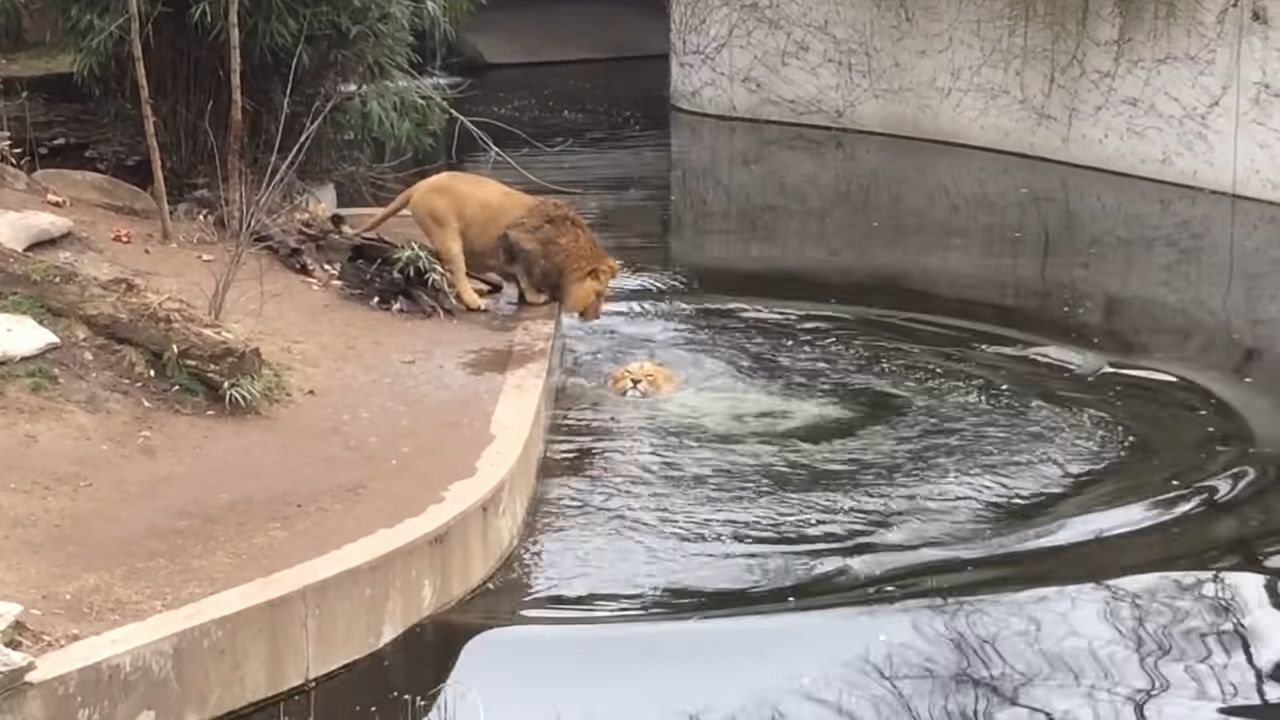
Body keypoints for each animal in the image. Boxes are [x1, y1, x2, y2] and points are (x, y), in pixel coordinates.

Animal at [350, 167, 619, 316]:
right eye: (599, 293)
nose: (596, 317)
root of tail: (420, 184)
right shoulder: (517, 241)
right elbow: (524, 274)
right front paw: (535, 298)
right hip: (446, 231)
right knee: (455, 268)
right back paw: (474, 301)